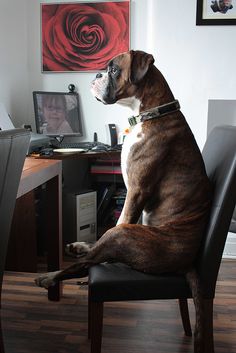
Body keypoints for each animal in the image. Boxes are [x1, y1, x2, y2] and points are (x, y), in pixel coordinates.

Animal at [35, 50, 212, 352]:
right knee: (97, 248)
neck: (149, 113)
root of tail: (185, 263)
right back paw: (79, 247)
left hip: (126, 234)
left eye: (113, 70)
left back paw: (51, 276)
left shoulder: (135, 192)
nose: (96, 74)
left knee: (89, 260)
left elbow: (119, 219)